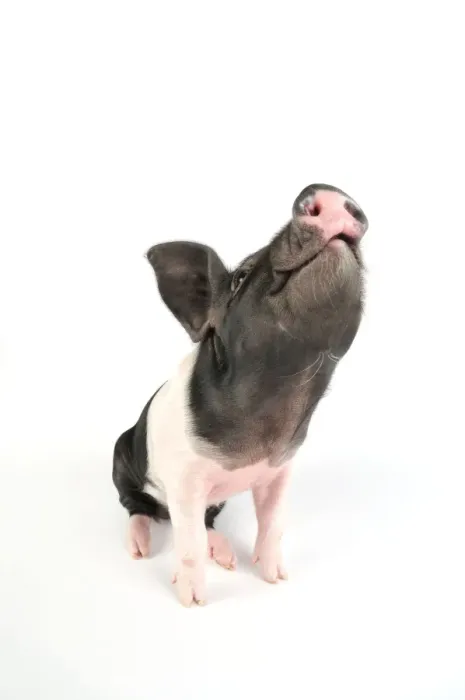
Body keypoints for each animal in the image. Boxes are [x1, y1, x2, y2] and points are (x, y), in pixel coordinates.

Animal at [112, 183, 368, 606]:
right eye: (241, 277)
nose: (327, 191)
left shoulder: (281, 468)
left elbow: (273, 522)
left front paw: (276, 578)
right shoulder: (184, 479)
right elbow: (188, 542)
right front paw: (193, 600)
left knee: (208, 521)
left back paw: (227, 557)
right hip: (120, 459)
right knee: (135, 506)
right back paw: (139, 548)